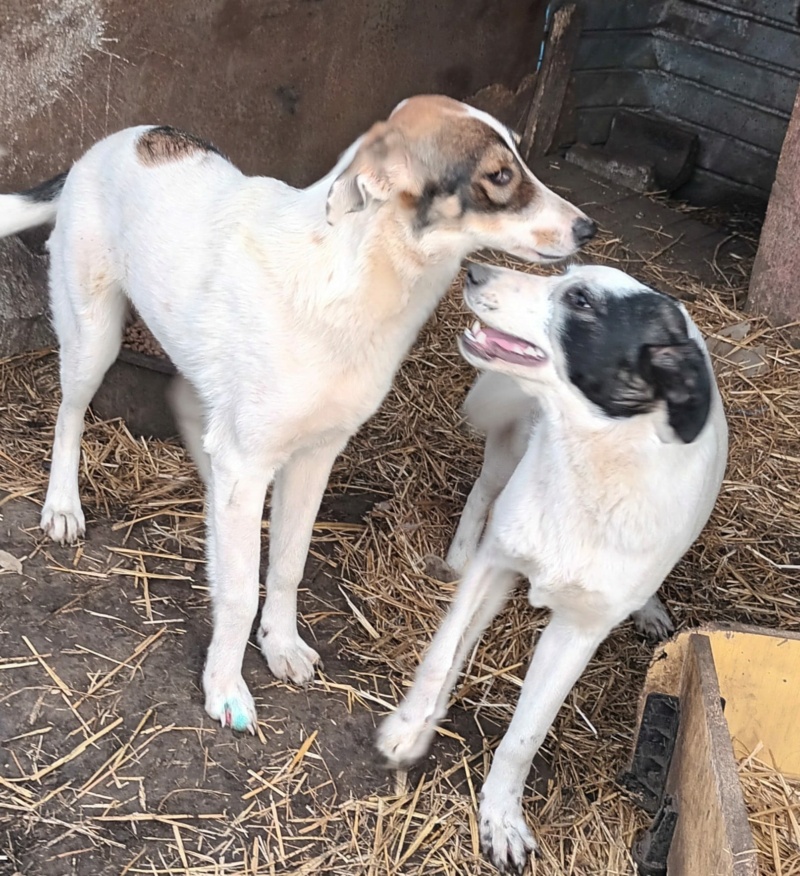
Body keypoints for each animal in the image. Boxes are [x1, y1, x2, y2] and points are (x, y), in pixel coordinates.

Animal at [0, 96, 592, 732]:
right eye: (500, 176)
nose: (589, 228)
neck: (354, 280)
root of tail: (110, 142)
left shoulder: (314, 458)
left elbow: (286, 566)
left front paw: (279, 643)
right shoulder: (248, 455)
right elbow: (239, 592)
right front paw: (225, 686)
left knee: (187, 407)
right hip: (94, 337)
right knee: (70, 414)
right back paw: (63, 505)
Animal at [378, 264, 728, 872]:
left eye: (581, 301)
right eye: (565, 274)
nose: (474, 270)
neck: (594, 464)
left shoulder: (579, 632)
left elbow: (525, 737)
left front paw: (500, 817)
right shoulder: (496, 565)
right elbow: (441, 656)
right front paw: (408, 728)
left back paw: (650, 608)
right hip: (506, 449)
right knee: (481, 496)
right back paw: (456, 555)